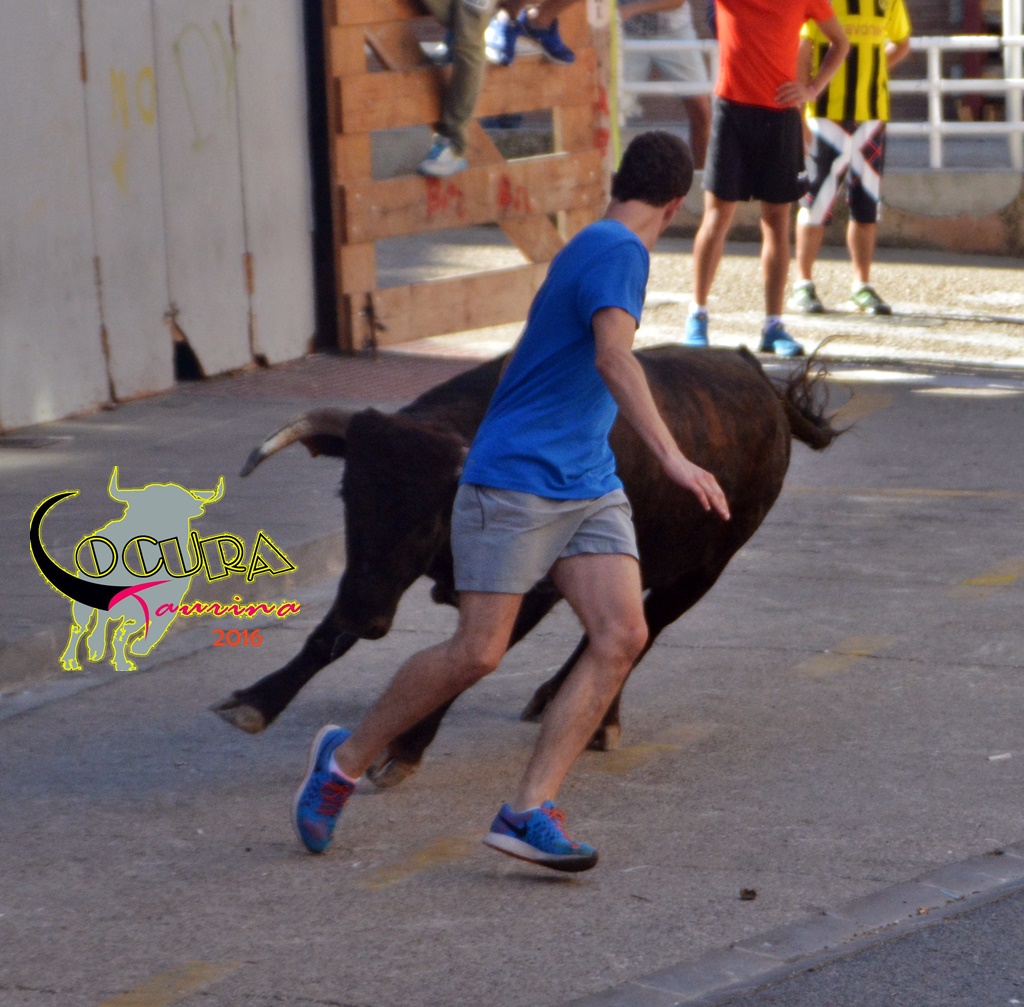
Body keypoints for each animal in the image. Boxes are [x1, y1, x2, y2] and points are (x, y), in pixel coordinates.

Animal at [211, 345, 840, 787]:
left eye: (430, 518)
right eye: (348, 496)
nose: (367, 617)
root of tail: (753, 373)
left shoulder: (528, 594)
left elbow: (472, 663)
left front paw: (406, 751)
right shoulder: (373, 575)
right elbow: (326, 637)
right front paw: (254, 704)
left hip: (700, 573)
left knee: (643, 632)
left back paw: (602, 720)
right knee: (611, 633)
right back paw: (555, 697)